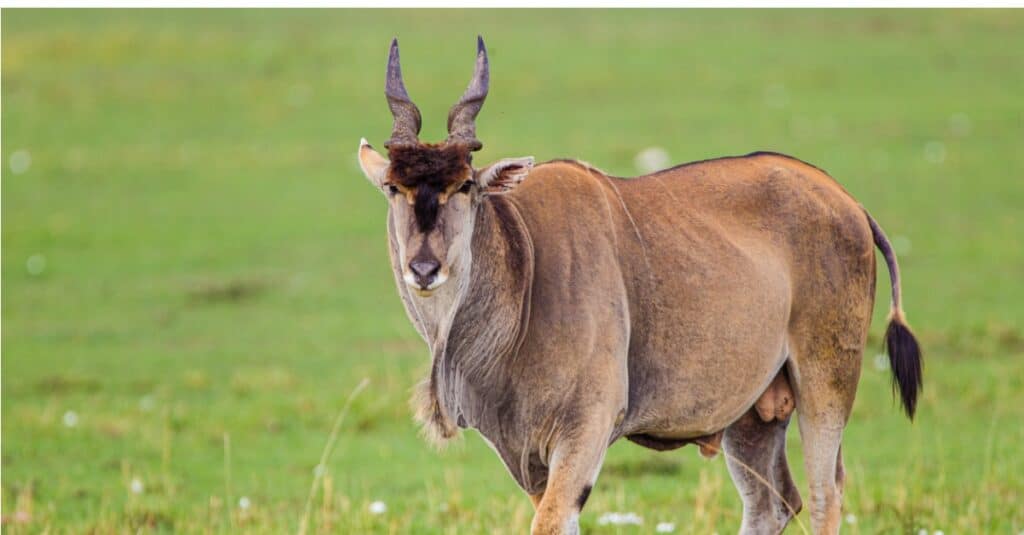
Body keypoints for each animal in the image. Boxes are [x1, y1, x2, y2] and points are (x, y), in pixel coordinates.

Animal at [356, 37, 925, 532]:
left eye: (465, 185)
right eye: (392, 187)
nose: (423, 269)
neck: (524, 265)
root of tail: (847, 201)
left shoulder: (586, 429)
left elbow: (553, 520)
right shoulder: (531, 457)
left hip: (826, 381)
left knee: (826, 493)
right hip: (754, 413)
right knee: (774, 502)